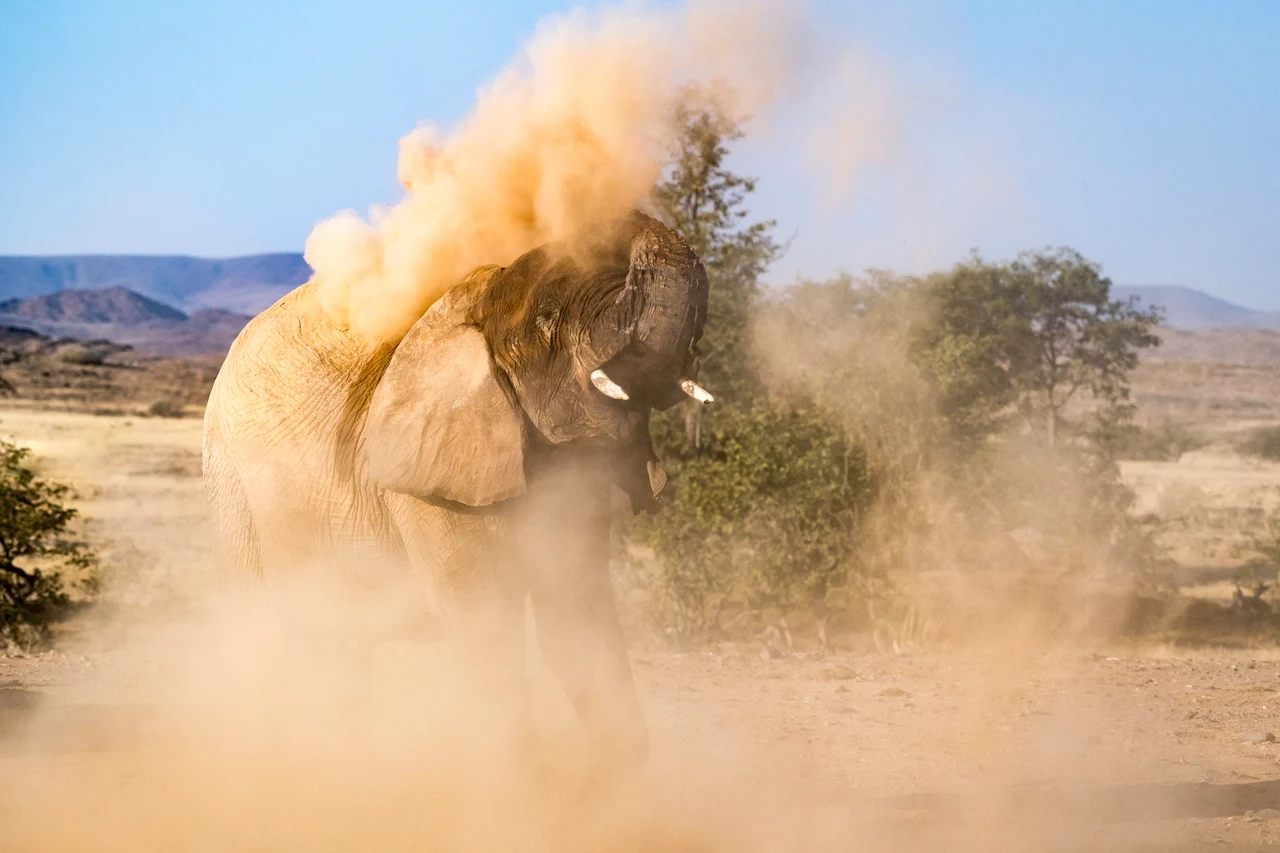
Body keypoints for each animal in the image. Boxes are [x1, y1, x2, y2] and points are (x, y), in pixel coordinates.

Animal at [201, 210, 711, 765]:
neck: (477, 302)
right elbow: (487, 629)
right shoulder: (425, 485)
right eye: (548, 317)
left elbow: (576, 617)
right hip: (230, 482)